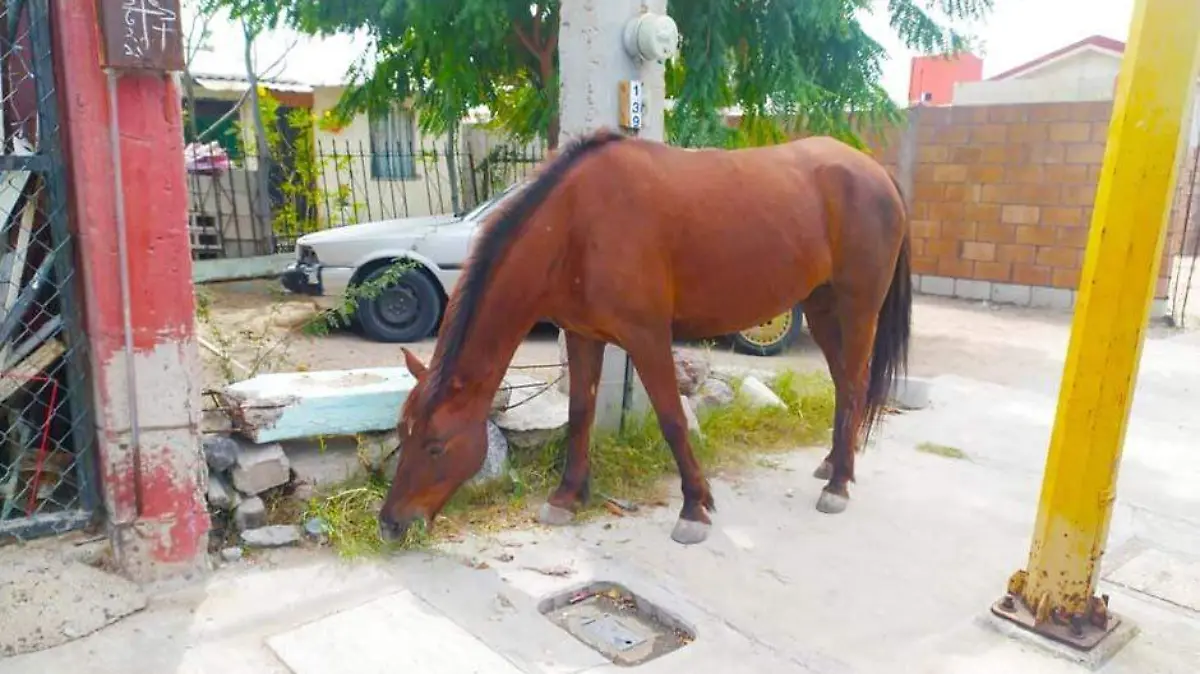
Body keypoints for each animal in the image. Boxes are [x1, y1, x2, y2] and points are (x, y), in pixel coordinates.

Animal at [379, 128, 911, 546]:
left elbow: (672, 419)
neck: (576, 224)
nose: (390, 523)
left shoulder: (648, 337)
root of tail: (877, 173)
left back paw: (838, 485)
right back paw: (832, 465)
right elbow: (580, 413)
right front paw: (568, 496)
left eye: (435, 445)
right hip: (821, 307)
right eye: (402, 433)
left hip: (858, 307)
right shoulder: (583, 336)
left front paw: (694, 507)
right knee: (843, 384)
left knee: (855, 384)